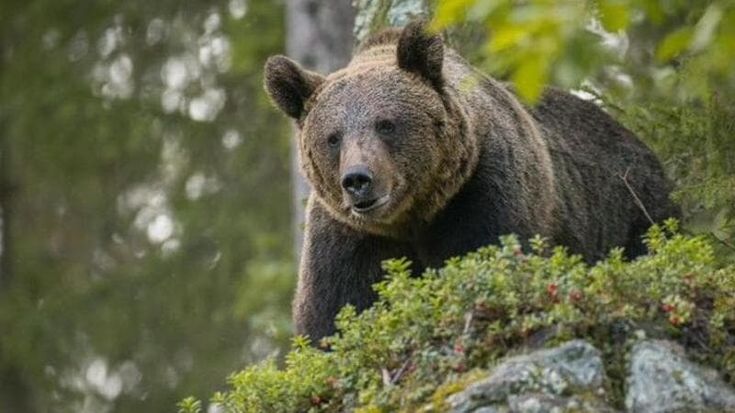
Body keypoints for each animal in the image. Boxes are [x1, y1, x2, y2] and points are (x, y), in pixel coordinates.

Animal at [263, 21, 679, 342]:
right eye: (333, 137)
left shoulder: (483, 192)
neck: (413, 217)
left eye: (386, 124)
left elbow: (487, 260)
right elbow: (334, 315)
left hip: (633, 209)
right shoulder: (348, 237)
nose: (358, 180)